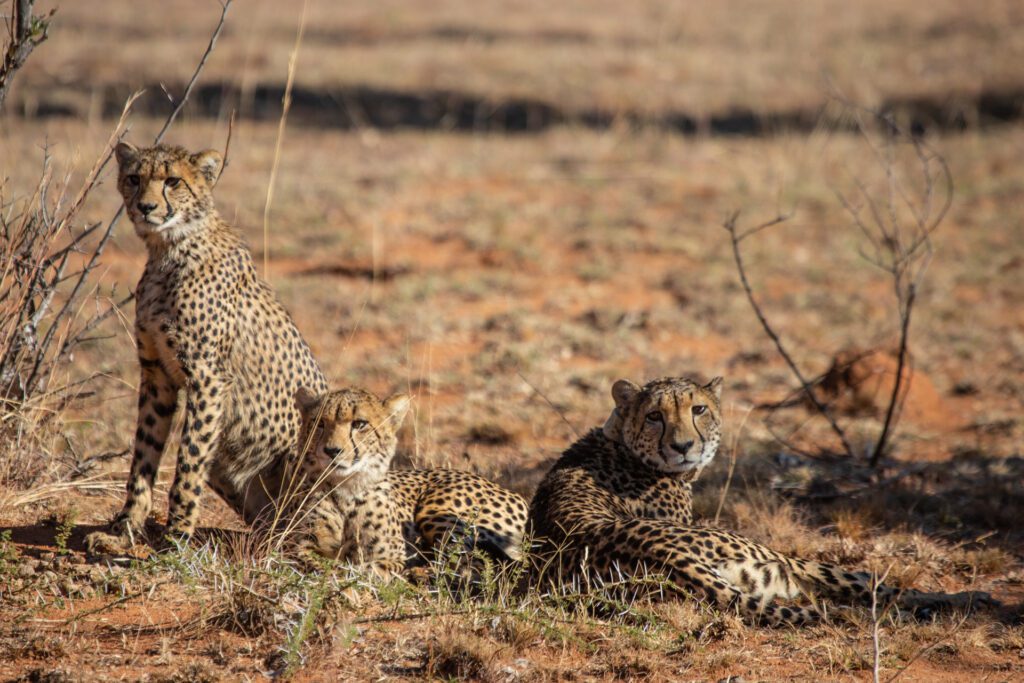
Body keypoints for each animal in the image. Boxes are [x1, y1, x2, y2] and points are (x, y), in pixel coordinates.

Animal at [86, 142, 329, 554]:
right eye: (134, 178)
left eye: (172, 181)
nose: (146, 207)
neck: (169, 248)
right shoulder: (157, 375)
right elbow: (143, 458)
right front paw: (124, 529)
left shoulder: (208, 378)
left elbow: (188, 463)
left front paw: (177, 536)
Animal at [280, 386, 528, 579]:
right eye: (319, 423)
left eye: (359, 424)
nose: (331, 451)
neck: (346, 488)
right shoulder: (296, 547)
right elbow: (312, 562)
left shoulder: (393, 555)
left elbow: (371, 568)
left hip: (435, 510)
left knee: (469, 562)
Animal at [528, 376, 993, 626]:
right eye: (655, 416)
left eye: (698, 409)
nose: (683, 447)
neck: (620, 440)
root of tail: (668, 556)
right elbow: (869, 582)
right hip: (779, 560)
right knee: (872, 585)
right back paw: (962, 601)